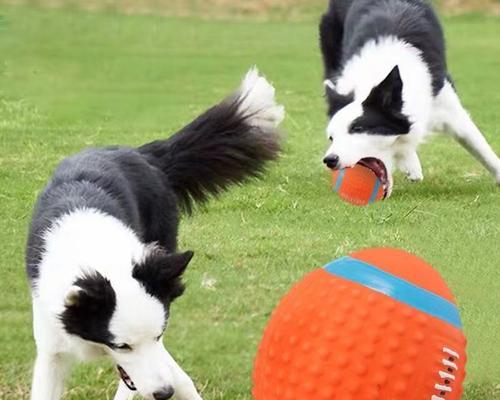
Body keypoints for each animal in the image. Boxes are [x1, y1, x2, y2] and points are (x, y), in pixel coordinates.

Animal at [26, 69, 286, 400]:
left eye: (159, 335)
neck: (96, 253)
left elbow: (169, 374)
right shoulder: (51, 344)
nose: (164, 393)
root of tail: (142, 154)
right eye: (122, 345)